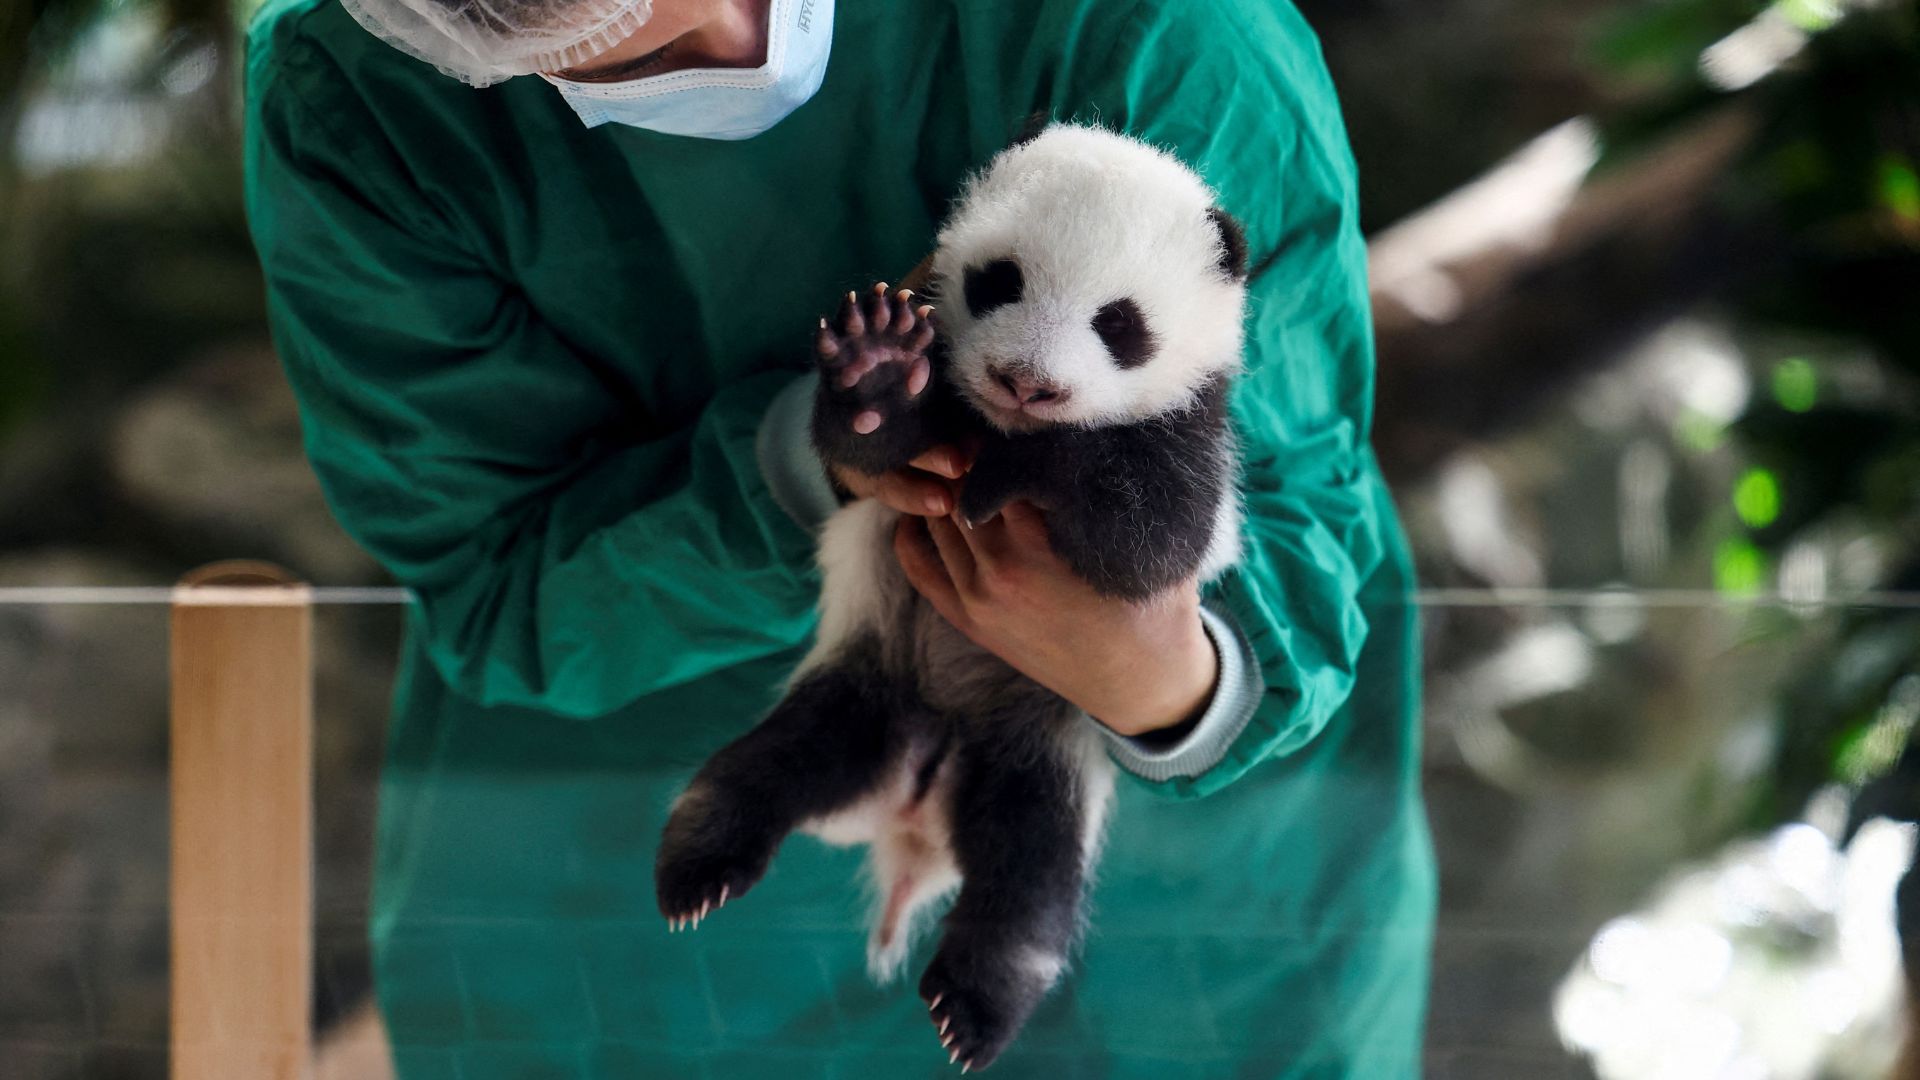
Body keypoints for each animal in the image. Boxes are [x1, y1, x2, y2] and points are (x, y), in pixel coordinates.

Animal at [652, 122, 1251, 1060]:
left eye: (1120, 324)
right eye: (999, 280)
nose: (1026, 382)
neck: (995, 427)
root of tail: (913, 803)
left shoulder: (1194, 434)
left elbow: (1146, 548)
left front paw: (1030, 471)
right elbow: (859, 447)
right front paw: (874, 369)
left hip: (1042, 742)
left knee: (1027, 873)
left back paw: (977, 1003)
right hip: (867, 680)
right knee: (769, 769)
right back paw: (697, 869)